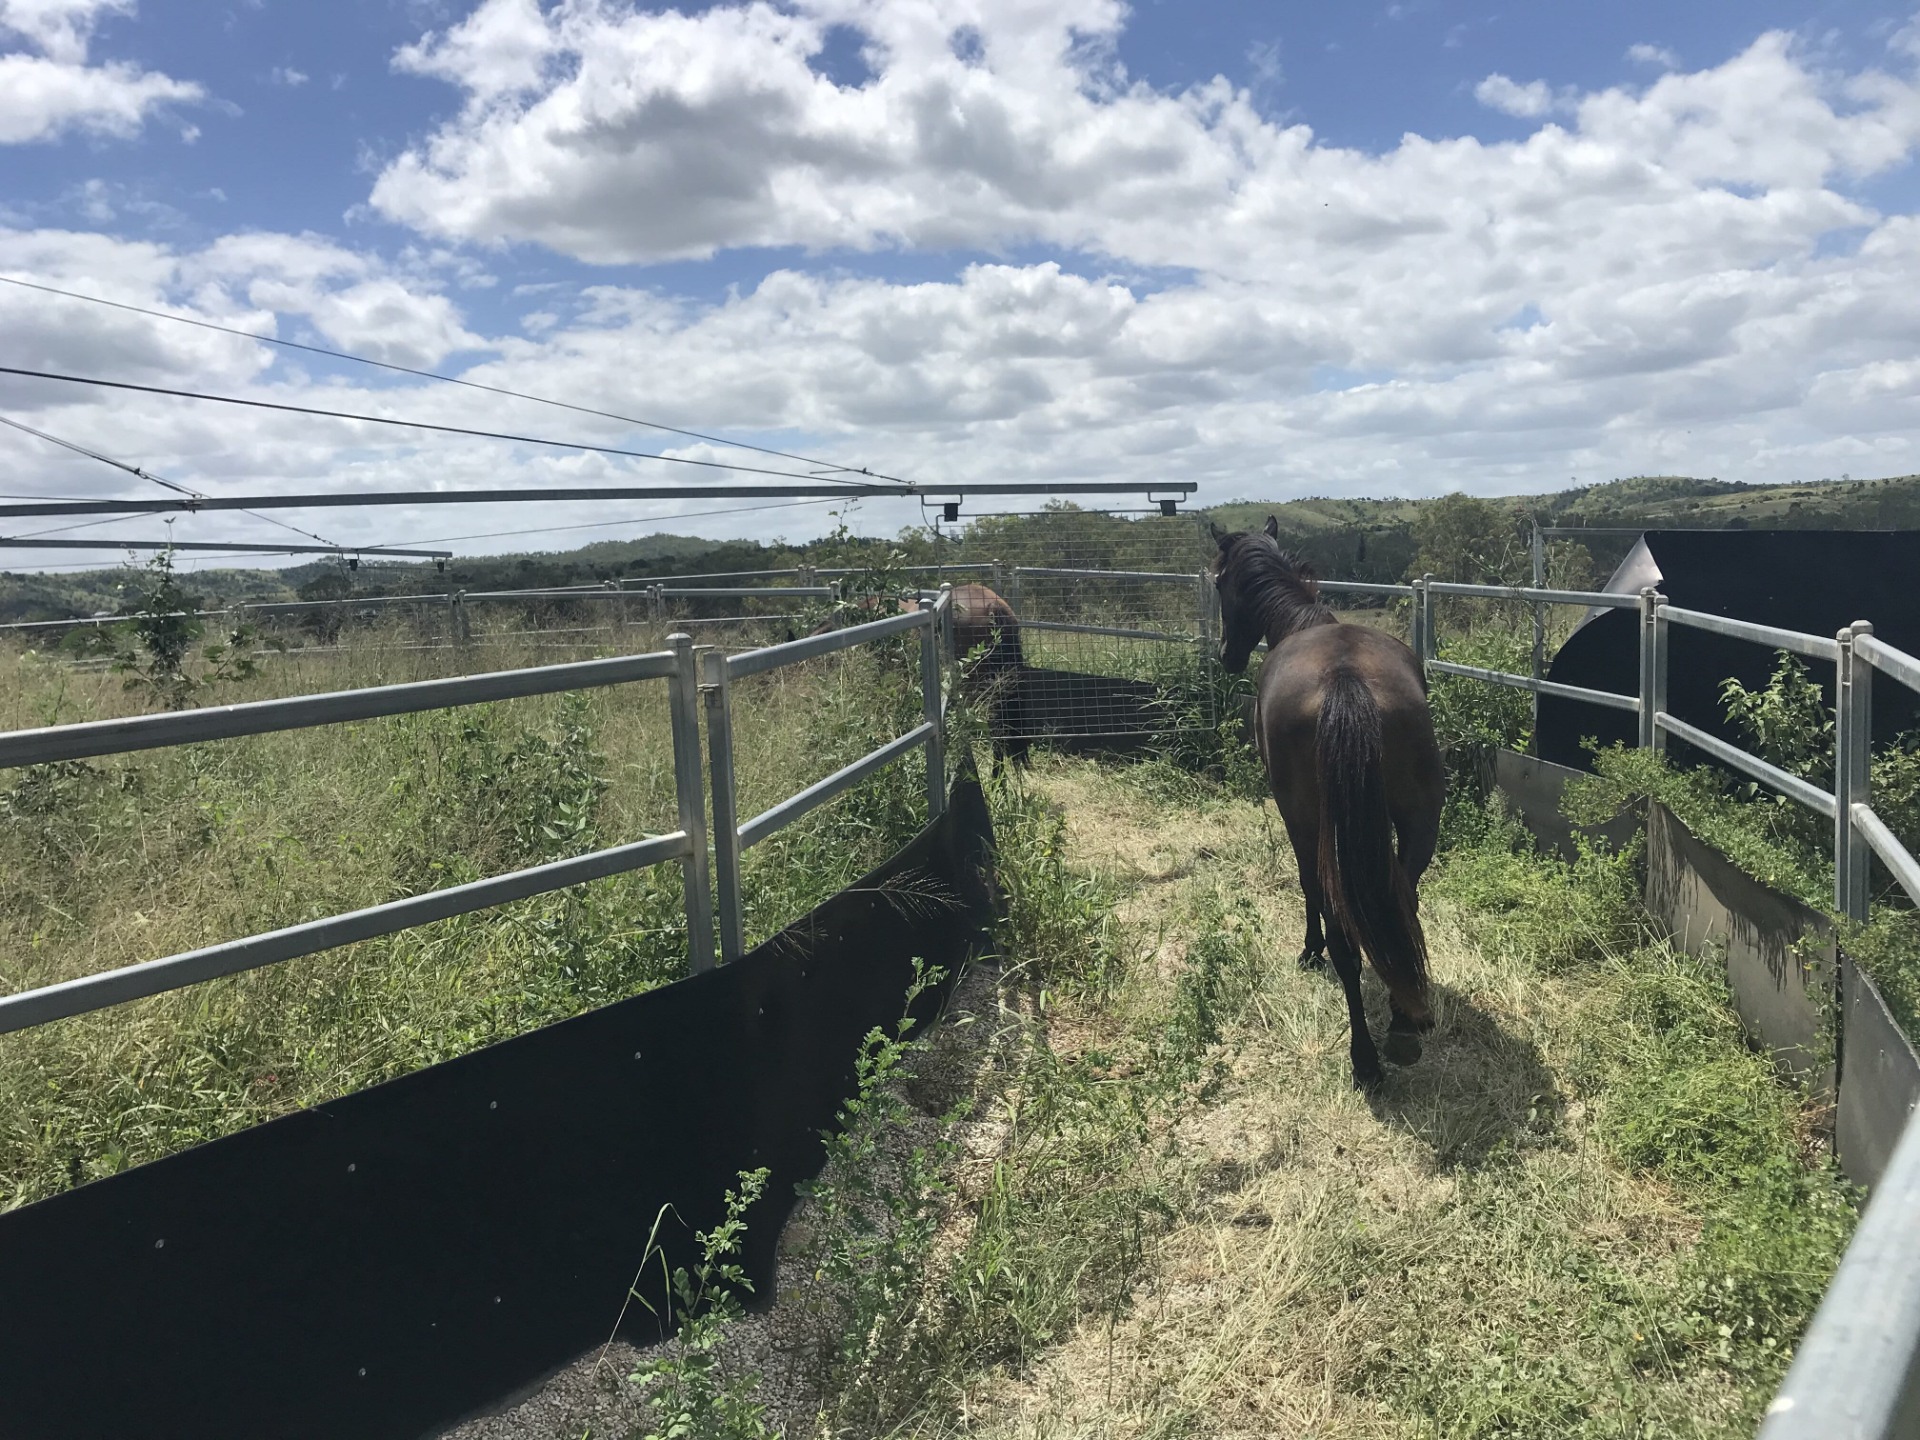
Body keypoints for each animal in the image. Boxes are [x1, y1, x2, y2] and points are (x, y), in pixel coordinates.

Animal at [1210, 518, 1445, 1089]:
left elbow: (1307, 887)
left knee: (1345, 937)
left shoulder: (1294, 820)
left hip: (1314, 824)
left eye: (1219, 582)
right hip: (1420, 823)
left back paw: (1365, 1058)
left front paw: (1308, 949)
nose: (1226, 655)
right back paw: (1404, 1024)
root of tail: (1346, 679)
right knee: (1402, 905)